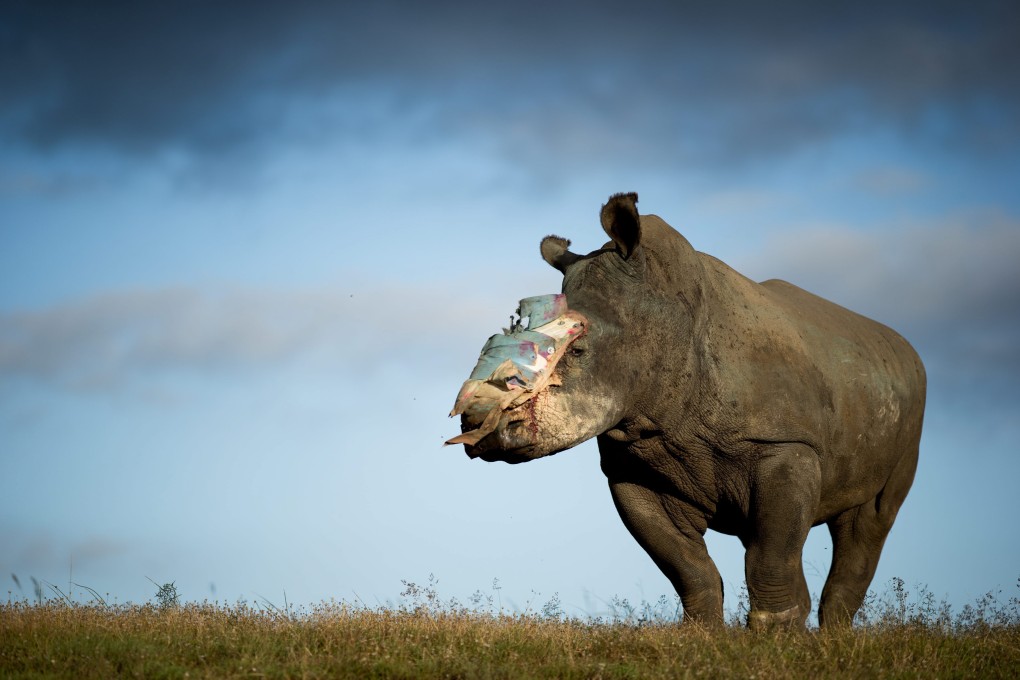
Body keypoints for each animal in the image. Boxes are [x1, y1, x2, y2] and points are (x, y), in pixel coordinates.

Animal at [447, 193, 926, 628]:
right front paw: (702, 635)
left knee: (870, 522)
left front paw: (775, 639)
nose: (478, 424)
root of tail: (904, 350)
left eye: (578, 350)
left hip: (908, 400)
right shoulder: (632, 466)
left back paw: (834, 638)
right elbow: (686, 566)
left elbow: (771, 554)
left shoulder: (785, 444)